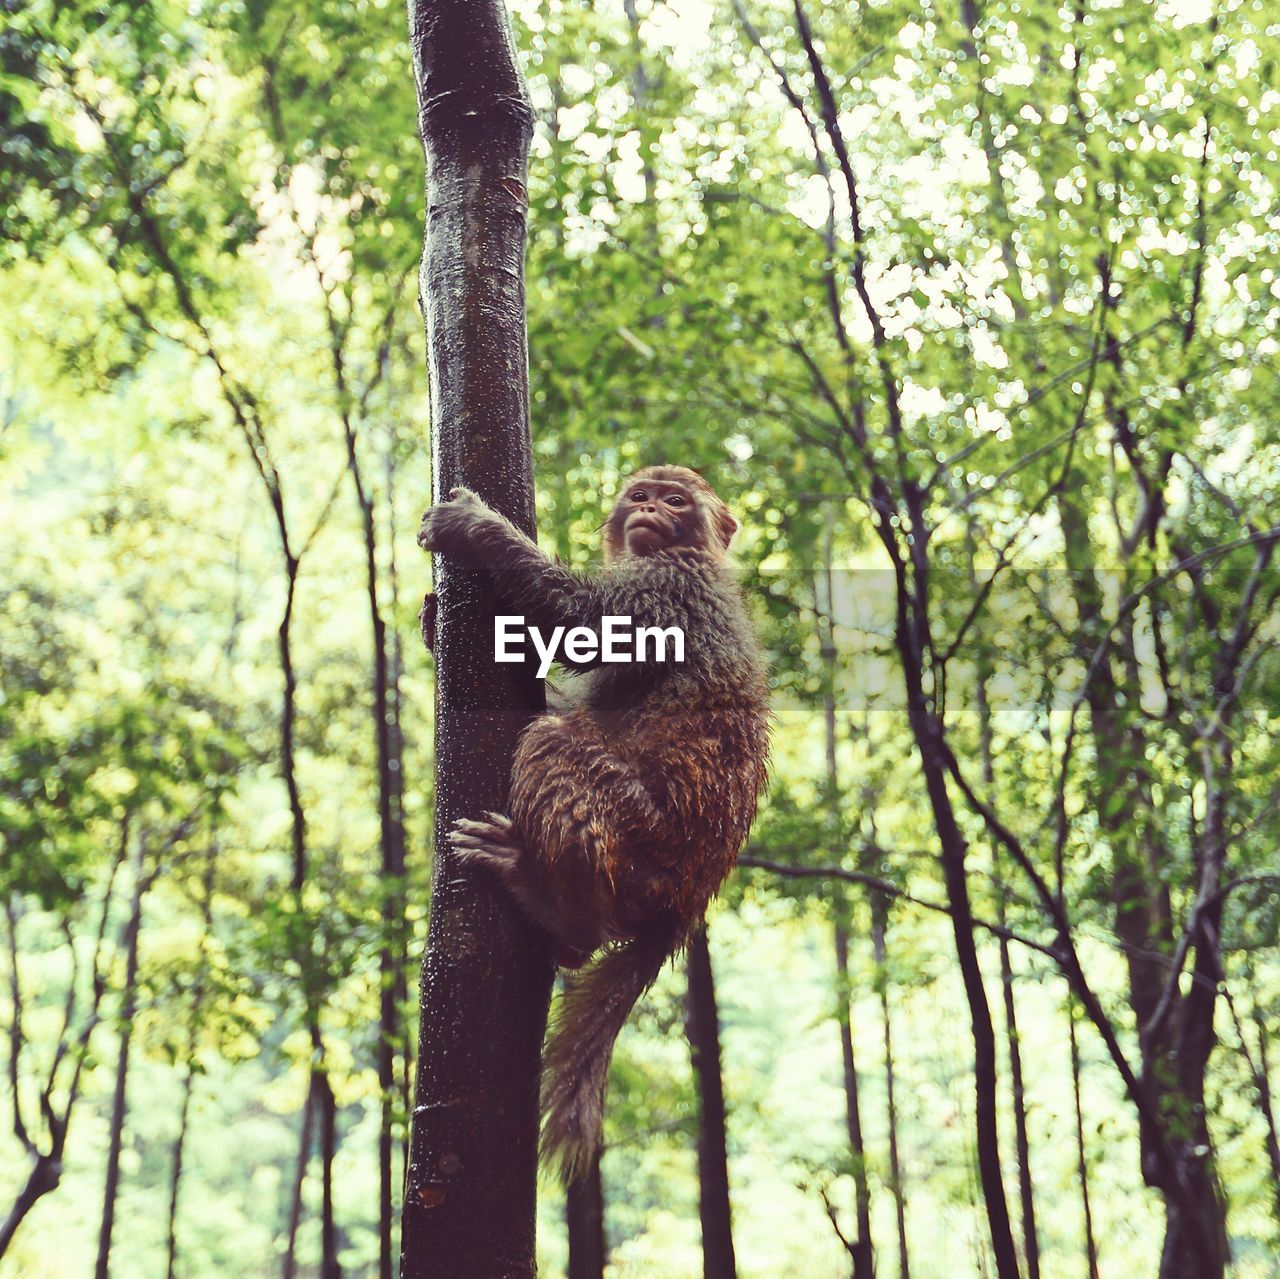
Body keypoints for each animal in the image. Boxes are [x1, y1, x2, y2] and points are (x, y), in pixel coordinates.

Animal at [417, 466, 768, 1172]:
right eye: (643, 496)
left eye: (676, 501)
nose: (652, 511)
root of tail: (689, 899)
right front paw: (430, 624)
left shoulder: (667, 588)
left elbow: (584, 622)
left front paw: (475, 527)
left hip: (642, 846)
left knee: (556, 741)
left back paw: (560, 911)